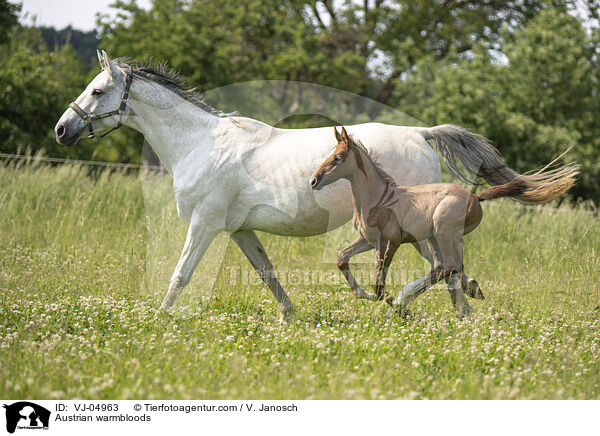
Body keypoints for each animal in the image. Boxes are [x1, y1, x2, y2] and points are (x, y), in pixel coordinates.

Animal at [310, 126, 576, 316]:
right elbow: (342, 258)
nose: (314, 180)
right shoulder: (367, 239)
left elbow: (380, 281)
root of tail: (476, 197)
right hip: (434, 238)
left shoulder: (390, 241)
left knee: (447, 267)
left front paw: (392, 304)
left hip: (441, 234)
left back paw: (405, 302)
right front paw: (365, 295)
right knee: (446, 268)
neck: (378, 198)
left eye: (338, 158)